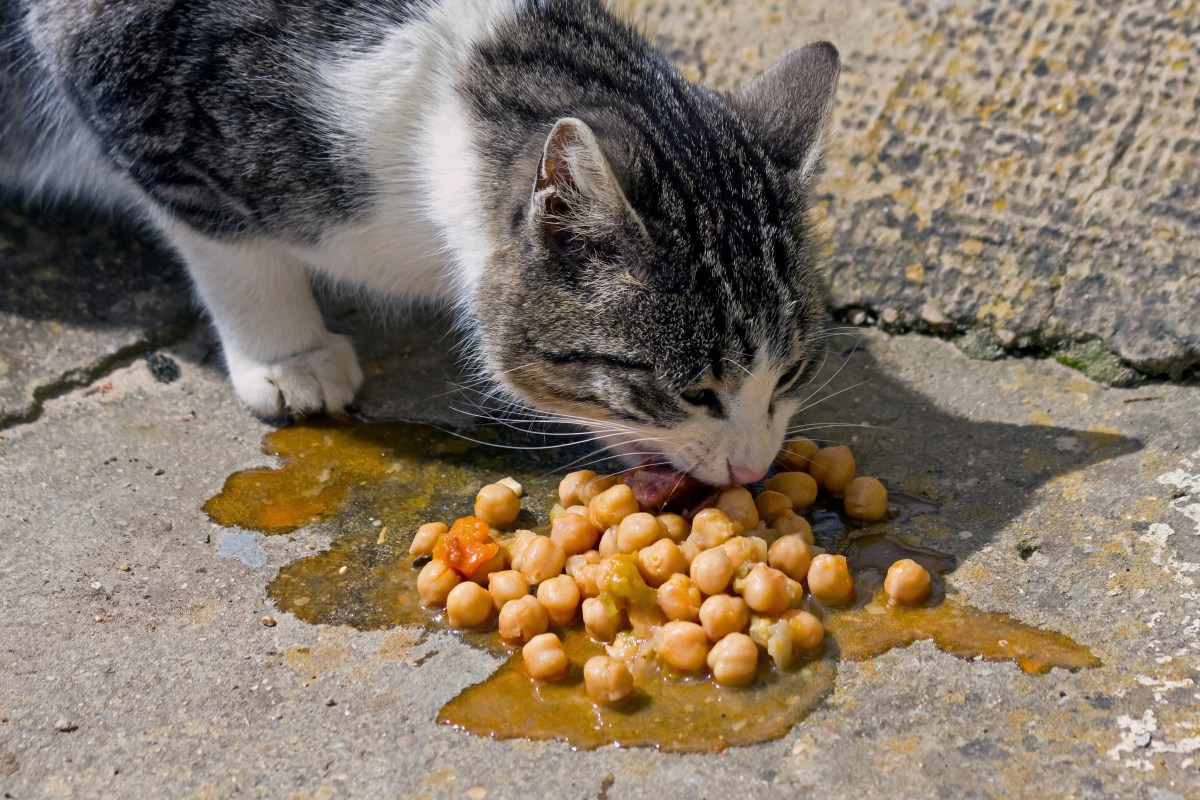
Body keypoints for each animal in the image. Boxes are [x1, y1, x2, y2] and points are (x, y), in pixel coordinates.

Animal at [0, 0, 840, 484]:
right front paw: (287, 354)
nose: (753, 469)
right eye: (695, 393)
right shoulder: (125, 79)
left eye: (794, 371)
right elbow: (226, 243)